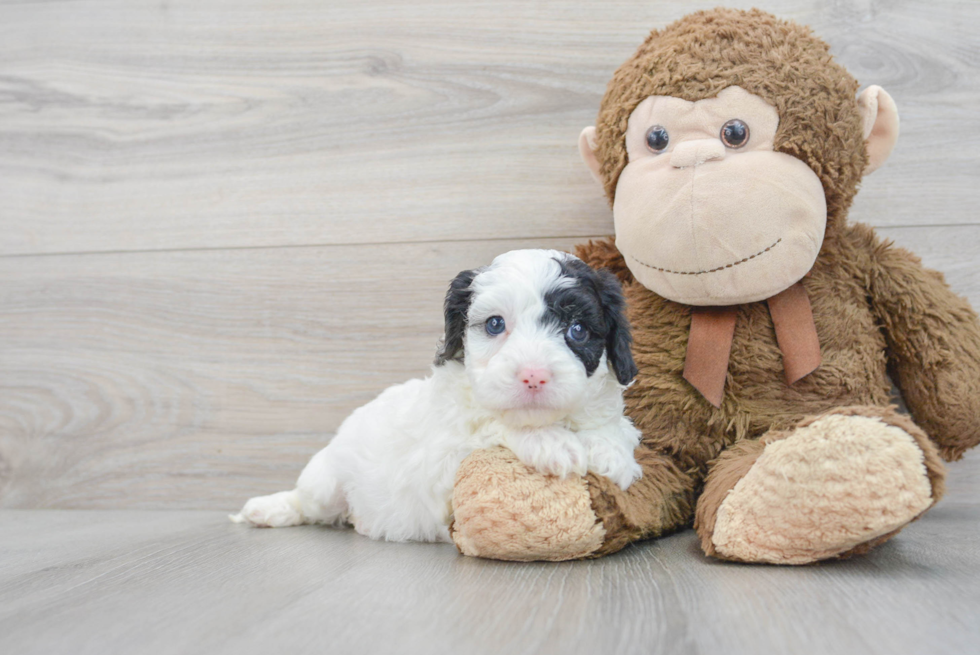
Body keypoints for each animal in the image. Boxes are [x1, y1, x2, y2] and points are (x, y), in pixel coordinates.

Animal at [231, 250, 644, 544]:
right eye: (495, 324)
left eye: (577, 329)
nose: (534, 376)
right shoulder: (444, 461)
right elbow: (491, 425)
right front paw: (550, 442)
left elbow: (616, 428)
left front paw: (611, 450)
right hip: (327, 481)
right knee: (306, 501)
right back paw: (264, 510)